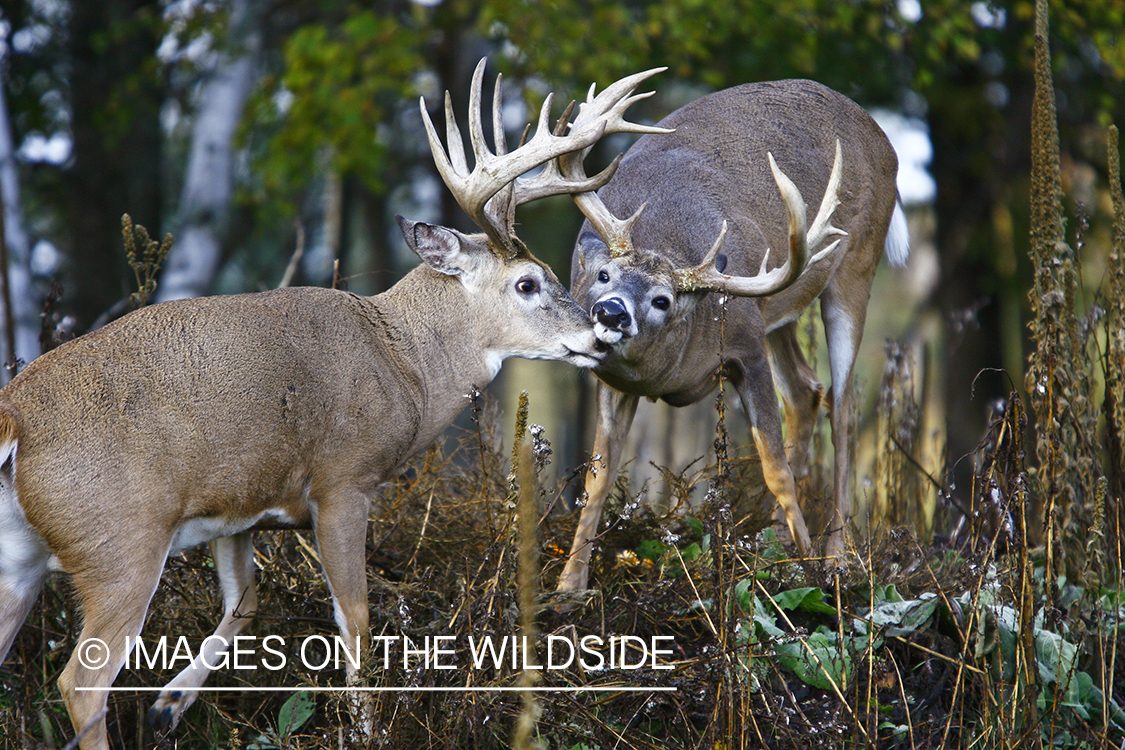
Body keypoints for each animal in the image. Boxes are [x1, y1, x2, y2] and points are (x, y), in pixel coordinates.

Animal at [0, 62, 661, 750]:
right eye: (527, 283)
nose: (600, 331)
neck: (405, 364)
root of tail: (15, 418)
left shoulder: (241, 508)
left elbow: (248, 603)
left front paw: (167, 705)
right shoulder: (343, 482)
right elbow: (358, 622)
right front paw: (366, 730)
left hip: (19, 557)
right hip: (120, 543)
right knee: (82, 683)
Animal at [558, 80, 909, 593]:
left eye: (663, 300)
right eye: (604, 275)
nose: (611, 312)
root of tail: (883, 139)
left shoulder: (745, 344)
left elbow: (775, 468)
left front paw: (808, 571)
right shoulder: (613, 380)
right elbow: (597, 475)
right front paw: (568, 585)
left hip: (855, 267)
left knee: (843, 410)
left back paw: (834, 558)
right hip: (779, 311)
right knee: (805, 391)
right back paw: (774, 541)